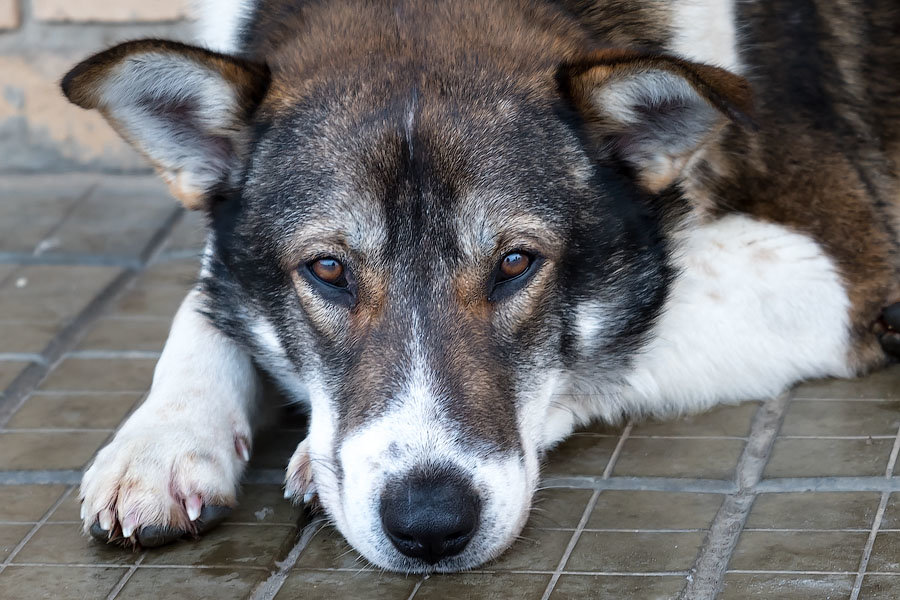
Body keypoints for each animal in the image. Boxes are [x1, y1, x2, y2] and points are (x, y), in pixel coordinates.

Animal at [59, 0, 896, 572]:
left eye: (516, 264)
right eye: (327, 270)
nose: (429, 524)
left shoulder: (836, 262)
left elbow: (617, 341)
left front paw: (306, 457)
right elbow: (205, 301)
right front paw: (162, 441)